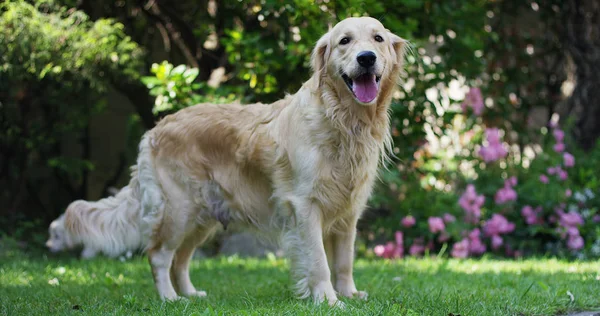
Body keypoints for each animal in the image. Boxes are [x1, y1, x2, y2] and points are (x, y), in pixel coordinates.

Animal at [55, 17, 408, 306]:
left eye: (378, 38)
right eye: (344, 41)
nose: (367, 58)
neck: (342, 120)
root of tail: (154, 130)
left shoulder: (349, 209)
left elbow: (344, 260)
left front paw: (349, 293)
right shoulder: (304, 206)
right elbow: (320, 261)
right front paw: (329, 300)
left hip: (203, 217)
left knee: (181, 260)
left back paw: (190, 295)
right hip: (178, 210)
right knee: (158, 256)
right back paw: (169, 298)